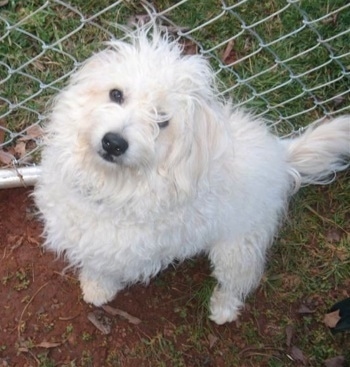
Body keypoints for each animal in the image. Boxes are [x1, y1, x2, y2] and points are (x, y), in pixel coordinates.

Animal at [33, 26, 350, 324]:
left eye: (162, 121)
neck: (111, 184)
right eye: (116, 94)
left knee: (240, 278)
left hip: (238, 245)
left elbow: (107, 267)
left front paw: (101, 289)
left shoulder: (124, 252)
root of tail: (279, 154)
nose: (113, 143)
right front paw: (94, 286)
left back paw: (224, 308)